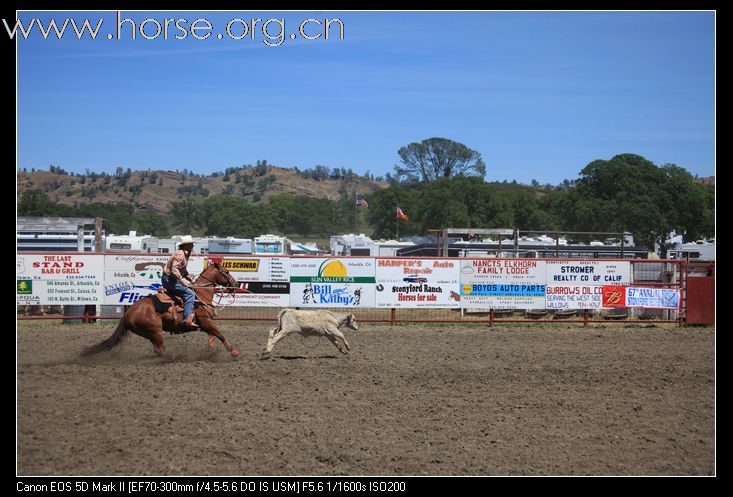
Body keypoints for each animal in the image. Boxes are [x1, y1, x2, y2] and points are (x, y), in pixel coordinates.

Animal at [82, 260, 240, 356]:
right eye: (226, 271)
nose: (236, 284)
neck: (200, 294)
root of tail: (127, 314)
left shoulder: (205, 325)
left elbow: (213, 336)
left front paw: (211, 351)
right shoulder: (206, 322)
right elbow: (220, 334)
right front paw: (234, 352)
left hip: (149, 333)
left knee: (158, 350)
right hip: (155, 330)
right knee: (161, 349)